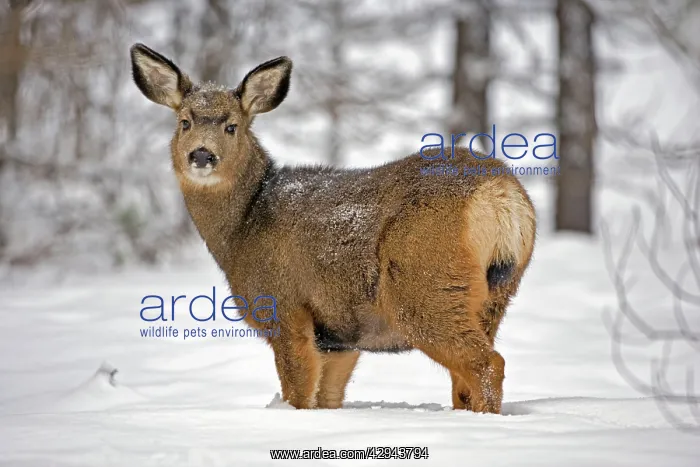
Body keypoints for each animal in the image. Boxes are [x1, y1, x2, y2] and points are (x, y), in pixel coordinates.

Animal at [130, 43, 536, 413]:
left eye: (232, 126)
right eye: (184, 122)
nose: (201, 155)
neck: (241, 229)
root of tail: (501, 194)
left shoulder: (285, 307)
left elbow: (298, 393)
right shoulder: (339, 336)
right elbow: (328, 398)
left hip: (424, 284)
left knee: (487, 364)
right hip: (496, 296)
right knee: (467, 378)